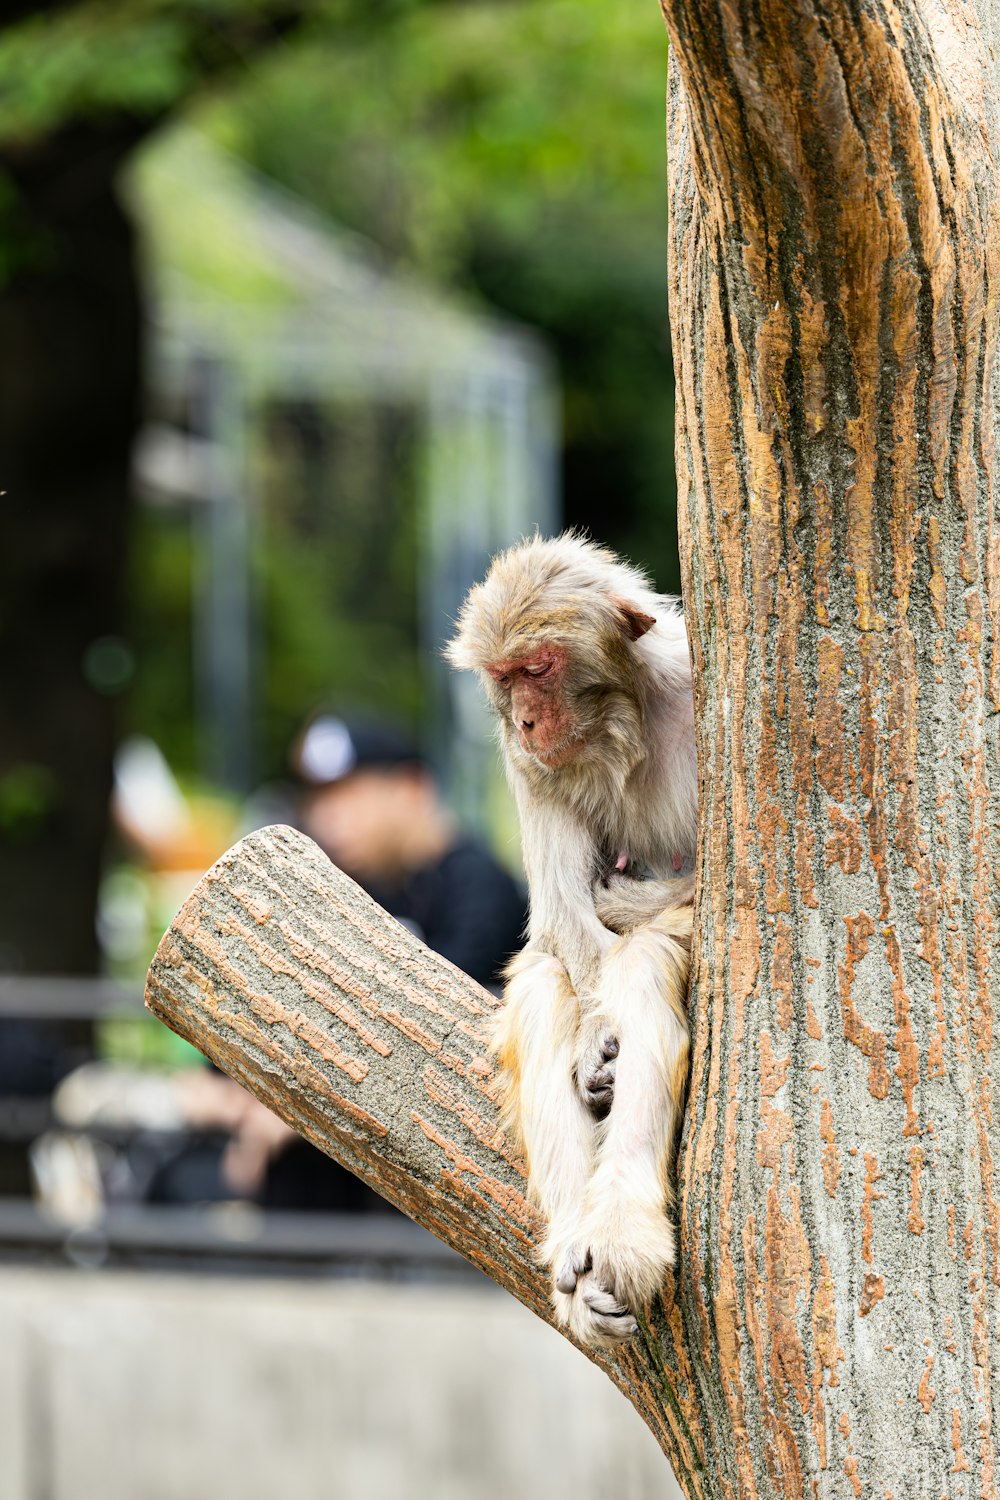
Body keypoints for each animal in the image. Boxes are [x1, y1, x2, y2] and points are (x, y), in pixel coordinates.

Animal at [446, 537, 695, 1350]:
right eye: (504, 678)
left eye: (539, 668)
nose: (524, 720)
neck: (626, 725)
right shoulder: (524, 766)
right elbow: (561, 923)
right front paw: (591, 1052)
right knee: (542, 985)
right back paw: (577, 1260)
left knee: (644, 966)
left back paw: (620, 1233)